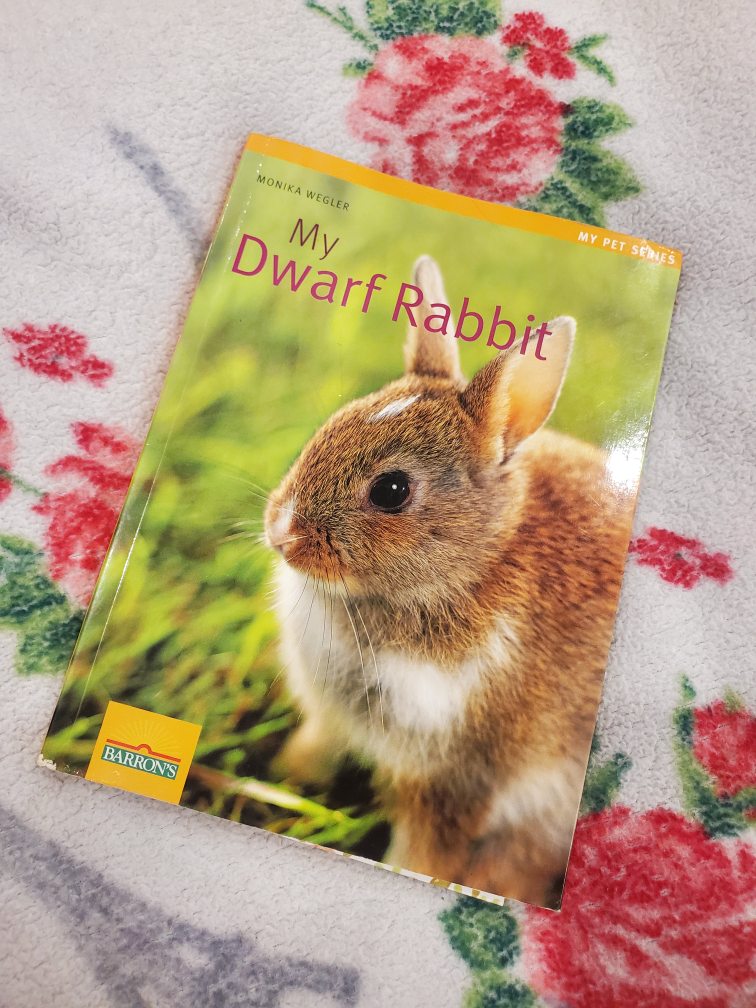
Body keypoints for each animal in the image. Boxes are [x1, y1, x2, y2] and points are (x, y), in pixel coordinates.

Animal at [263, 255, 635, 908]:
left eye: (391, 490)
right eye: (332, 424)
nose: (281, 534)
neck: (472, 567)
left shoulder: (457, 777)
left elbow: (428, 851)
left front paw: (405, 870)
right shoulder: (331, 721)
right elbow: (313, 750)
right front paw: (282, 777)